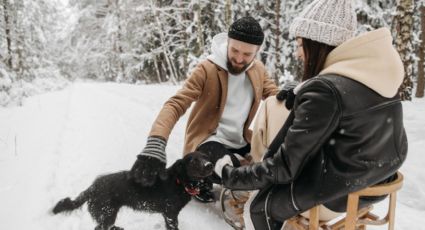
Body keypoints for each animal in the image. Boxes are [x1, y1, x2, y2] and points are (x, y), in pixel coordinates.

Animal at [52, 151, 212, 230]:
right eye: (193, 160)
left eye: (205, 156)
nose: (210, 165)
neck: (180, 182)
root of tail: (92, 187)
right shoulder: (171, 215)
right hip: (107, 213)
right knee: (99, 228)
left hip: (107, 214)